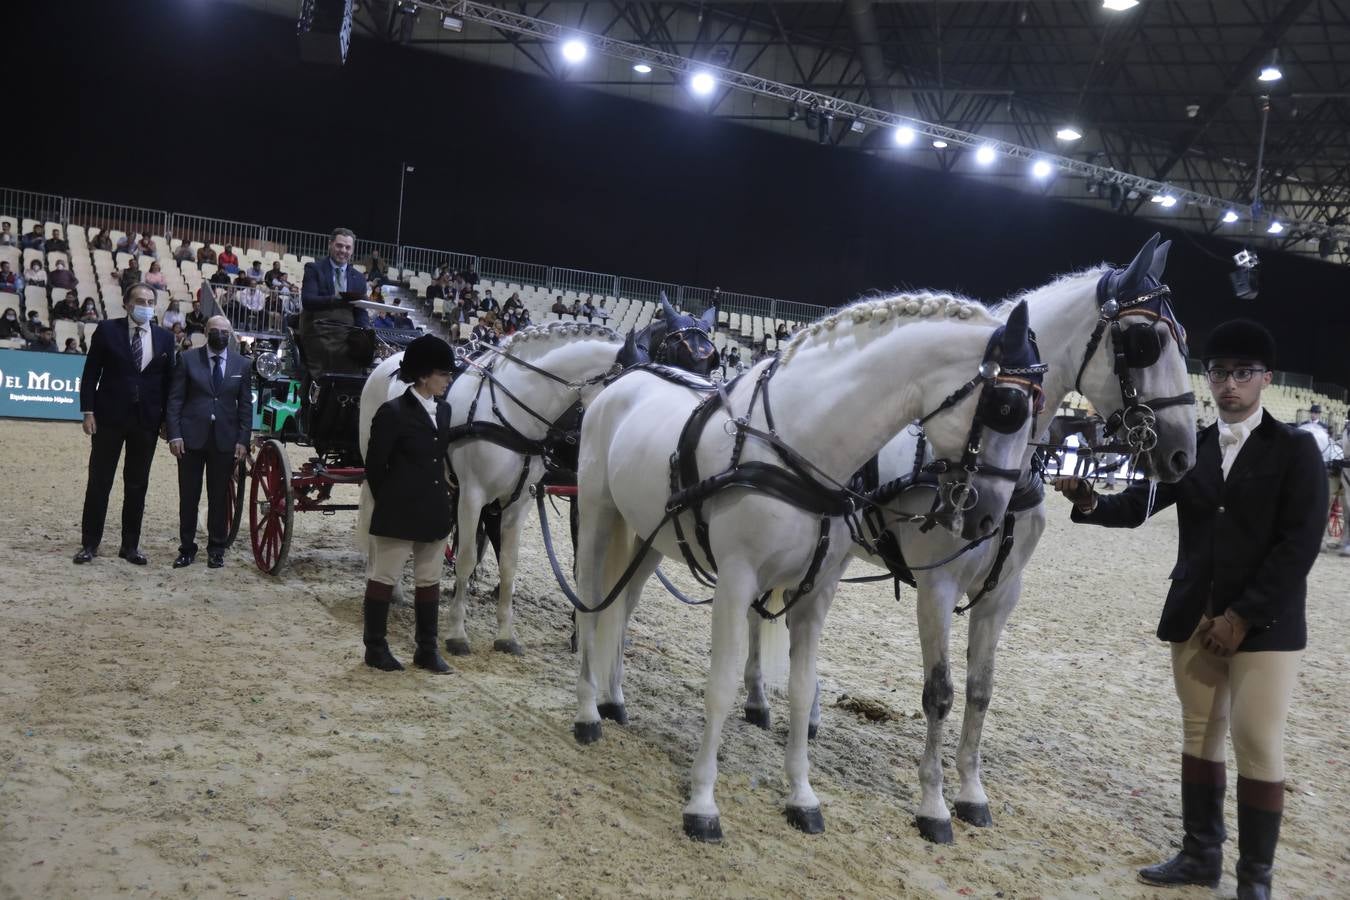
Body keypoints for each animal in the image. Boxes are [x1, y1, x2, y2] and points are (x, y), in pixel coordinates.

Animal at [569, 292, 1042, 841]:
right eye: (1007, 408)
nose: (989, 516)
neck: (798, 446)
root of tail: (623, 381)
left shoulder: (818, 591)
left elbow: (800, 687)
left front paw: (801, 796)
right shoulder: (736, 580)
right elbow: (722, 684)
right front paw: (703, 804)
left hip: (650, 536)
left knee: (621, 608)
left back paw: (613, 700)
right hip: (598, 514)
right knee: (590, 605)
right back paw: (588, 714)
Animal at [745, 230, 1198, 847]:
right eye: (1146, 341)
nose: (1184, 453)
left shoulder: (1002, 594)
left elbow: (981, 691)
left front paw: (970, 793)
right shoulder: (937, 588)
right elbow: (940, 693)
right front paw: (933, 805)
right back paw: (757, 700)